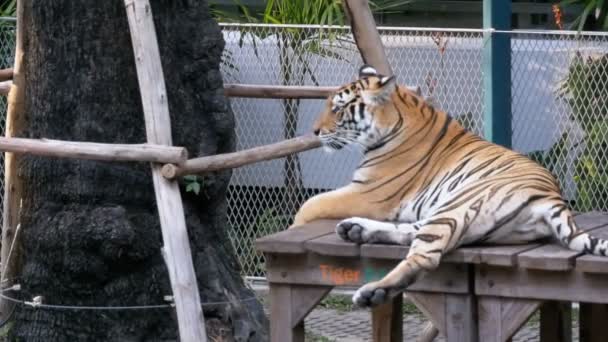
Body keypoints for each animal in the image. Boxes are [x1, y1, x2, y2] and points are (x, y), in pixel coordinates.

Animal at [292, 64, 608, 308]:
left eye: (338, 108)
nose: (315, 131)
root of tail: (552, 197)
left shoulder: (368, 193)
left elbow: (308, 205)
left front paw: (295, 227)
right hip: (456, 215)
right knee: (414, 233)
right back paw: (355, 229)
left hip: (457, 203)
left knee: (424, 257)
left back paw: (373, 292)